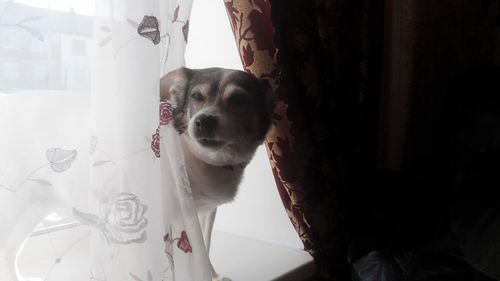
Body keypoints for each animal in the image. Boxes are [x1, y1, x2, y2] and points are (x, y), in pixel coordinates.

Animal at [160, 66, 276, 278]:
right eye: (196, 96)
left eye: (238, 99)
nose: (203, 121)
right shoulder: (173, 217)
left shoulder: (206, 211)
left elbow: (204, 247)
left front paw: (211, 276)